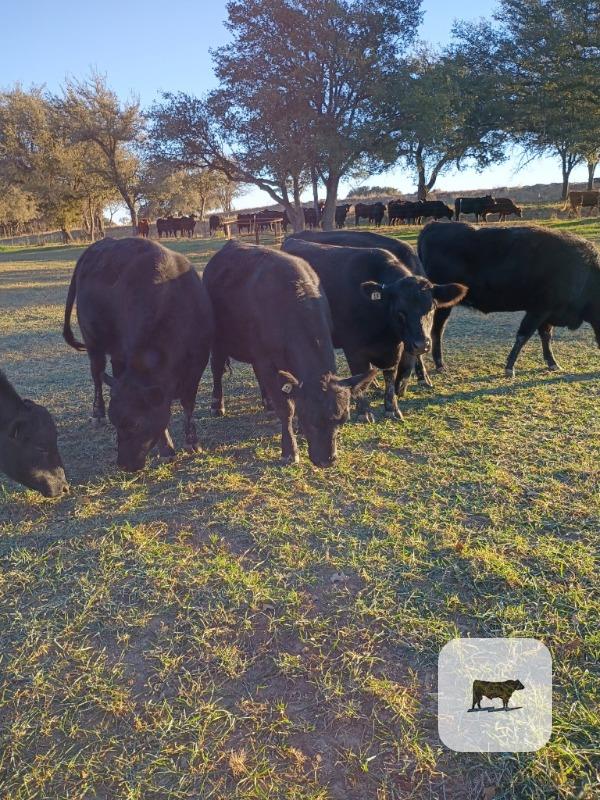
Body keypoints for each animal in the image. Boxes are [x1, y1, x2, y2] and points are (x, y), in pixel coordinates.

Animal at [63, 237, 213, 471]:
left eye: (135, 424)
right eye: (116, 422)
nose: (124, 464)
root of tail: (96, 247)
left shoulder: (197, 365)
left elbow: (188, 403)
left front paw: (192, 442)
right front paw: (166, 449)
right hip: (93, 343)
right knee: (96, 375)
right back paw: (97, 413)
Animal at [203, 240, 374, 466]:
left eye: (343, 419)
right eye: (310, 417)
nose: (327, 460)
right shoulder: (265, 359)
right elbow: (286, 408)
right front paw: (289, 450)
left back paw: (267, 402)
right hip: (218, 341)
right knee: (217, 369)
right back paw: (217, 405)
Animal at [282, 237, 466, 421]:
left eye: (432, 308)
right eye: (400, 311)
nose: (422, 345)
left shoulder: (395, 349)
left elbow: (390, 378)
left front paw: (392, 408)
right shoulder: (354, 349)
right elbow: (360, 375)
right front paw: (364, 412)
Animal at [417, 222, 600, 376]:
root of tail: (433, 225)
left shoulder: (546, 313)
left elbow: (545, 336)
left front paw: (552, 363)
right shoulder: (539, 310)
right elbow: (523, 336)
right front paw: (509, 368)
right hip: (442, 307)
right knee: (436, 331)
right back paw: (440, 364)